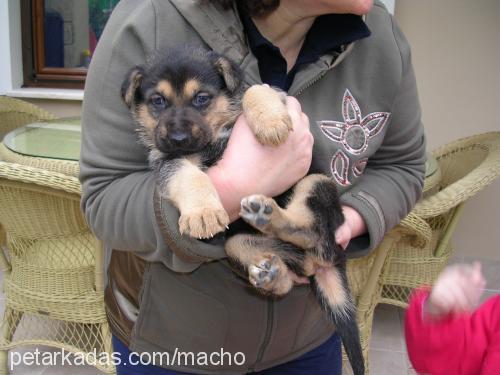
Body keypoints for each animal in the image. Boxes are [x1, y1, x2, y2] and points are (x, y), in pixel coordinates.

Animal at [121, 47, 364, 375]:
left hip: (316, 183)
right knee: (295, 263)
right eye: (157, 101)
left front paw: (271, 122)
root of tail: (335, 258)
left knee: (312, 230)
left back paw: (271, 217)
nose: (179, 140)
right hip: (240, 246)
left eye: (202, 98)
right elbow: (187, 175)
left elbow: (256, 90)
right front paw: (202, 212)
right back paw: (272, 273)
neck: (211, 137)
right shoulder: (167, 162)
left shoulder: (268, 100)